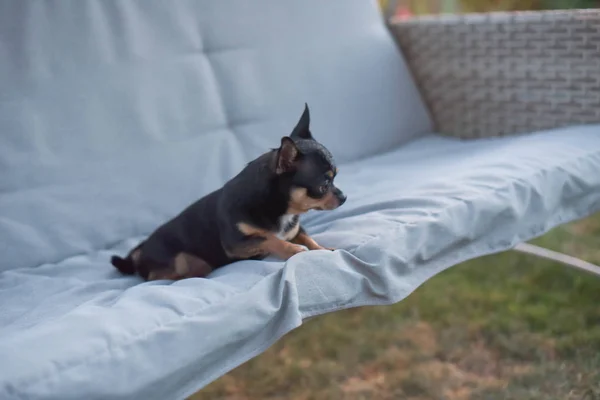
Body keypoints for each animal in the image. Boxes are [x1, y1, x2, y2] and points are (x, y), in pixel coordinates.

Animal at [111, 104, 346, 282]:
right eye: (324, 185)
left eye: (335, 177)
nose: (344, 197)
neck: (281, 209)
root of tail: (140, 252)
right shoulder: (237, 244)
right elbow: (268, 238)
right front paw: (293, 249)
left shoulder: (295, 229)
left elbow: (307, 238)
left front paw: (322, 248)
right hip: (180, 261)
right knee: (159, 276)